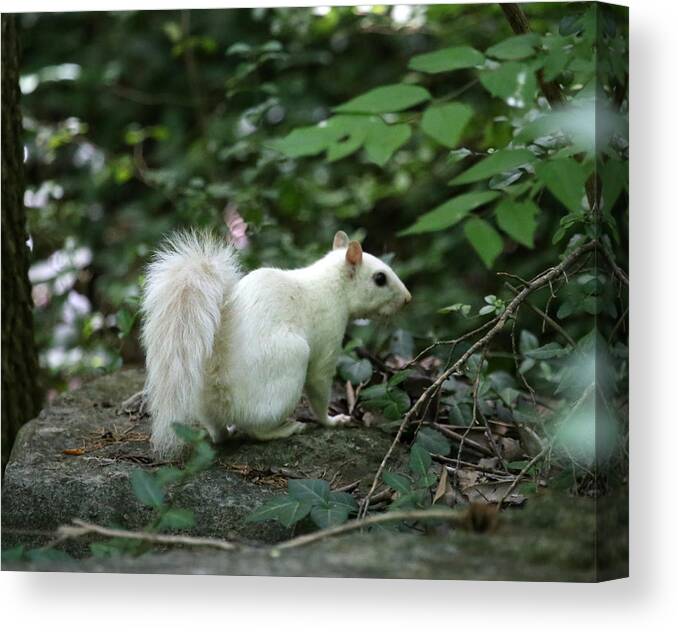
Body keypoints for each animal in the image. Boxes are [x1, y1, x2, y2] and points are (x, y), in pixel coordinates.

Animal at [141, 230, 412, 456]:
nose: (408, 299)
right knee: (256, 430)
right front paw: (333, 421)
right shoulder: (328, 338)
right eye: (379, 278)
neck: (331, 286)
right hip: (290, 363)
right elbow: (319, 385)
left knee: (218, 432)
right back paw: (287, 428)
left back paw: (224, 432)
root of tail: (219, 393)